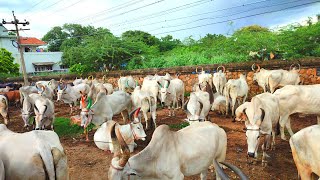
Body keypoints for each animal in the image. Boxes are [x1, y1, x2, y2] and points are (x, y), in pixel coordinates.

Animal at [107, 121, 248, 179]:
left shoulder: (177, 176)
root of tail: (218, 128)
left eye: (121, 177)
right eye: (109, 176)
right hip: (205, 162)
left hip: (219, 161)